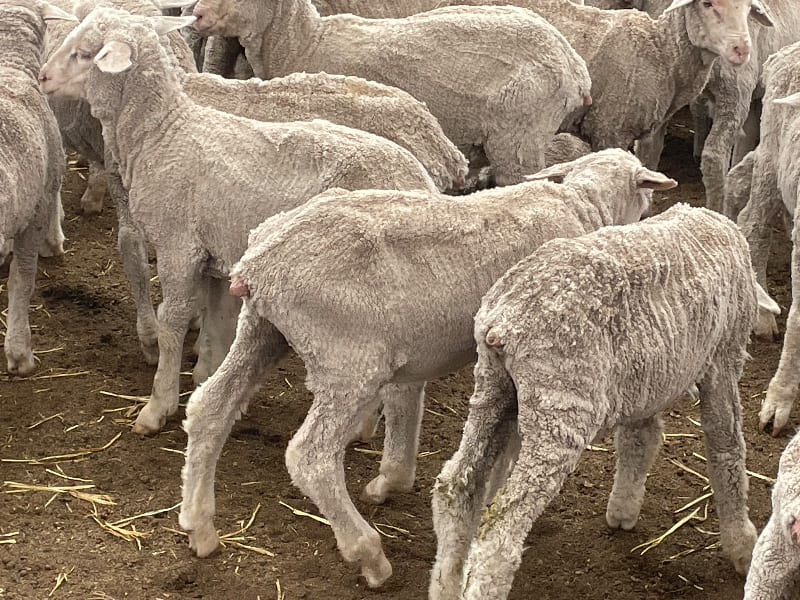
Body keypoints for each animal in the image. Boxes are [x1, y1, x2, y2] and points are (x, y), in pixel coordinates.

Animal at [39, 6, 440, 436]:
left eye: (85, 53)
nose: (43, 76)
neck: (162, 133)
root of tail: (423, 179)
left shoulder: (178, 244)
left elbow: (172, 319)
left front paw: (158, 405)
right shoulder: (214, 253)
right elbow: (216, 322)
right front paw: (203, 380)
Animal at [178, 148, 677, 586]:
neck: (582, 204)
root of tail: (260, 262)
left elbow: (405, 410)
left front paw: (392, 479)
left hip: (262, 330)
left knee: (208, 409)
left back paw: (200, 526)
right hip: (348, 360)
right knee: (310, 457)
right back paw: (369, 555)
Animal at [430, 203, 774, 600]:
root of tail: (503, 322)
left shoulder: (644, 380)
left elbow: (639, 440)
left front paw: (623, 510)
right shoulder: (723, 360)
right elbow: (726, 449)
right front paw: (742, 544)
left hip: (492, 390)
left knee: (456, 489)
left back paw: (445, 583)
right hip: (561, 405)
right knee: (501, 532)